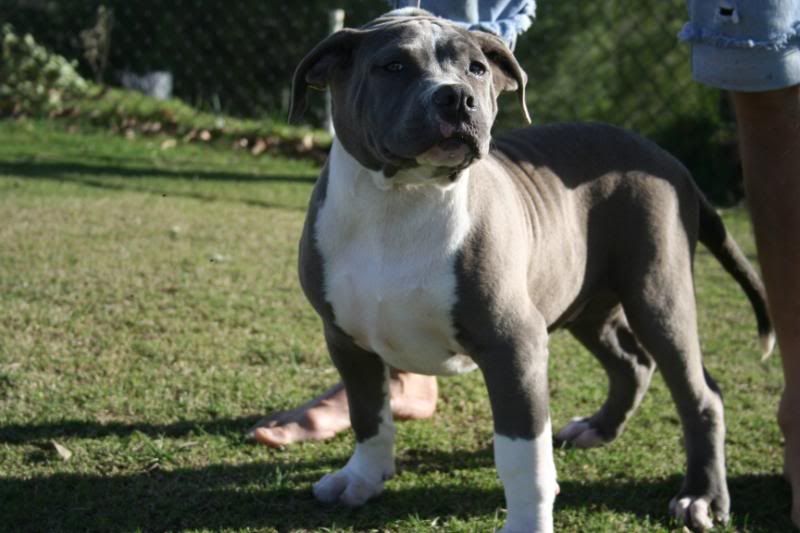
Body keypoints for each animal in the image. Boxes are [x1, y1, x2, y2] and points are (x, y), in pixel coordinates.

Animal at [290, 9, 776, 532]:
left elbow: (523, 456)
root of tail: (667, 160)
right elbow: (368, 415)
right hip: (587, 302)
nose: (456, 97)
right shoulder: (346, 339)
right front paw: (362, 478)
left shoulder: (513, 345)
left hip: (659, 296)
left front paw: (527, 522)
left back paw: (701, 497)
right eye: (393, 66)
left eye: (477, 69)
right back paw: (597, 429)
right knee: (632, 363)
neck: (401, 200)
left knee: (700, 395)